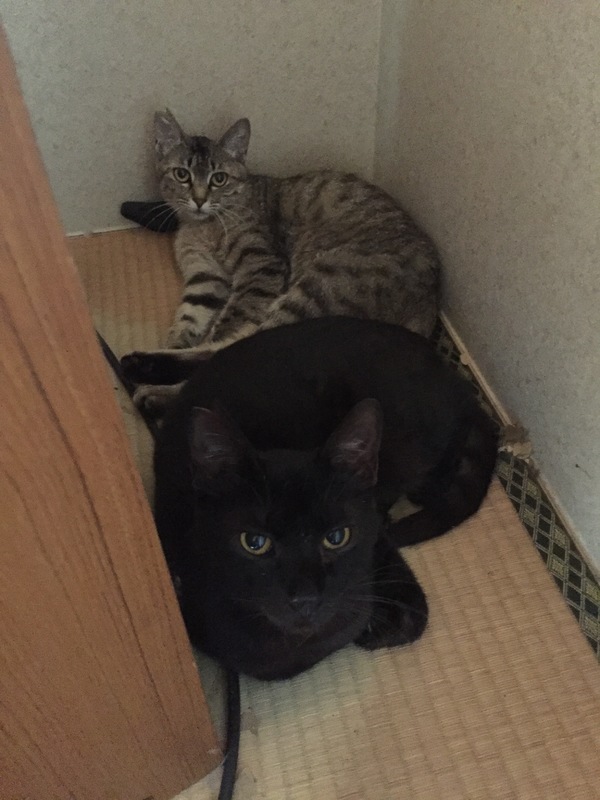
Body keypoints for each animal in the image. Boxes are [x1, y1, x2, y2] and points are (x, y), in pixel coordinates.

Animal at [122, 317, 498, 680]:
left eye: (336, 537)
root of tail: (460, 384)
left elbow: (396, 610)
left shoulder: (373, 543)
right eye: (254, 542)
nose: (304, 597)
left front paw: (375, 623)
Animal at [126, 110, 441, 360]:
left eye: (219, 178)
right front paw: (176, 341)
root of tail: (429, 307)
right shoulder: (205, 276)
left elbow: (230, 324)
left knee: (236, 345)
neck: (204, 227)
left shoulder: (261, 265)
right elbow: (188, 317)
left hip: (320, 284)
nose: (200, 200)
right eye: (182, 174)